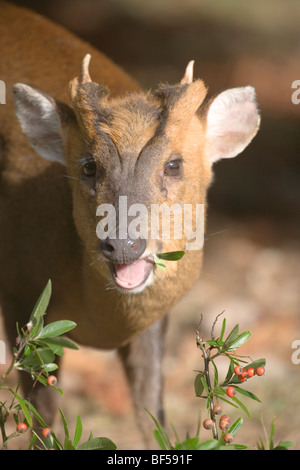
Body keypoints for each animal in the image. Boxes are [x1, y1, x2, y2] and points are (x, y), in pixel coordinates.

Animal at [0, 0, 258, 448]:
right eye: (88, 166)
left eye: (174, 164)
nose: (123, 244)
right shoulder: (17, 290)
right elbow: (42, 418)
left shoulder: (155, 322)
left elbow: (152, 416)